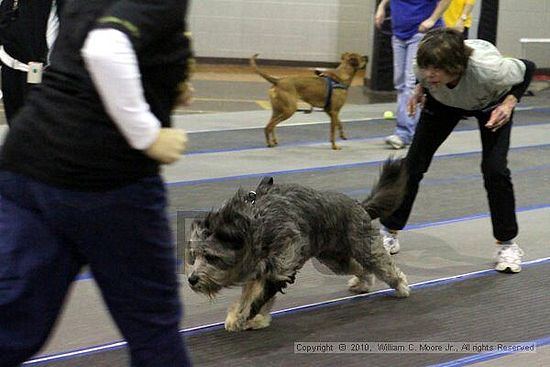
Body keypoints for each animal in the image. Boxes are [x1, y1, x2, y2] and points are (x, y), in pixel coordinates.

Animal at [189, 159, 410, 334]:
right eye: (195, 255)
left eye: (210, 256)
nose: (191, 279)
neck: (256, 224)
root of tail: (359, 205)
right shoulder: (262, 271)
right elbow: (253, 295)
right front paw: (256, 318)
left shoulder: (279, 268)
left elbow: (255, 298)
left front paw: (240, 318)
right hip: (335, 259)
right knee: (361, 268)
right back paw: (363, 283)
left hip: (363, 247)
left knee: (383, 265)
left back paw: (401, 286)